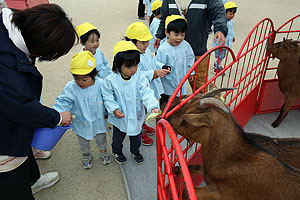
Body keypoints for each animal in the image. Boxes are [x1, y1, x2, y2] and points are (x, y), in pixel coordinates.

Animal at [168, 89, 300, 200]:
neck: (232, 158)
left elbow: (186, 191)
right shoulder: (208, 174)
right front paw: (175, 169)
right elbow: (192, 167)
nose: (167, 119)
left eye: (185, 120)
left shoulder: (221, 193)